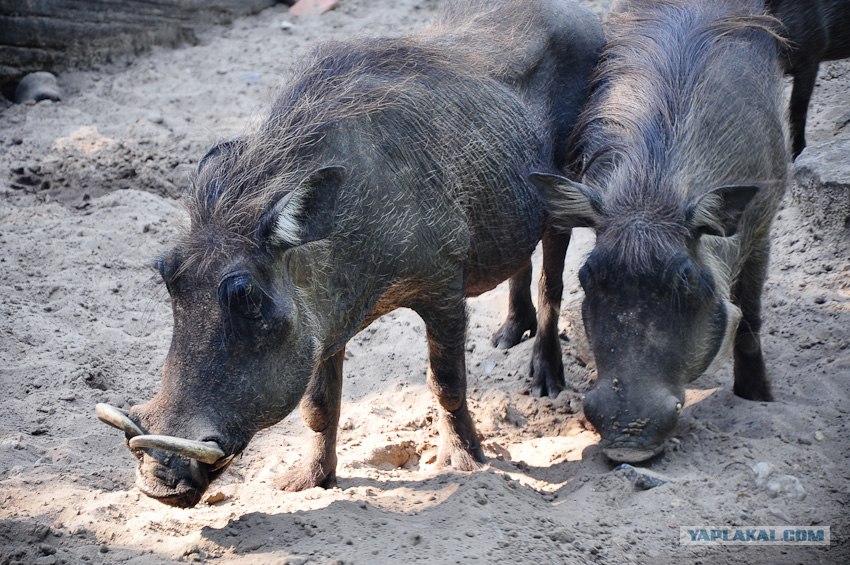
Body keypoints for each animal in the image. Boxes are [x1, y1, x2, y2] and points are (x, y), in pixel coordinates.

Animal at [95, 0, 603, 507]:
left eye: (248, 298)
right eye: (167, 275)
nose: (157, 482)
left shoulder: (442, 289)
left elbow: (447, 385)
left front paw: (465, 463)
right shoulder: (326, 323)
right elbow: (319, 406)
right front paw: (310, 480)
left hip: (562, 195)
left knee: (551, 282)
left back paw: (545, 380)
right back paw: (508, 333)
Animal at [533, 0, 789, 462]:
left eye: (684, 279)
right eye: (589, 276)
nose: (626, 443)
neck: (651, 191)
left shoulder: (762, 227)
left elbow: (751, 316)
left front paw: (758, 396)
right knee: (547, 283)